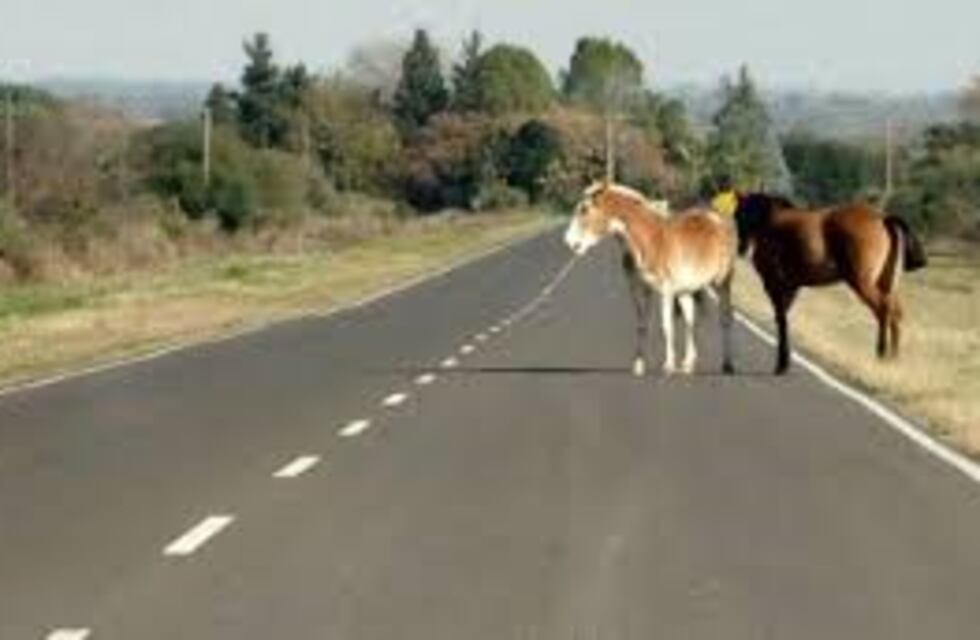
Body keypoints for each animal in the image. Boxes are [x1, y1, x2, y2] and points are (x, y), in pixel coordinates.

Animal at [564, 181, 738, 376]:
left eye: (584, 209)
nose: (569, 242)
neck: (649, 240)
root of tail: (716, 219)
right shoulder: (641, 289)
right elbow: (642, 324)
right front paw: (639, 365)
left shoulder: (666, 292)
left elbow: (666, 326)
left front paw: (668, 366)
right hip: (685, 290)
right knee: (690, 319)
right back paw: (688, 364)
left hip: (722, 282)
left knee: (725, 318)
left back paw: (728, 365)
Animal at [714, 191, 928, 374]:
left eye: (740, 214)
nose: (741, 248)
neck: (771, 222)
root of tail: (882, 218)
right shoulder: (791, 288)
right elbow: (784, 320)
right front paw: (785, 361)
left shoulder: (775, 286)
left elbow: (781, 320)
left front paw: (782, 364)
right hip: (886, 283)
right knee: (895, 312)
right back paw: (894, 358)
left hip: (863, 283)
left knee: (883, 309)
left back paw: (881, 354)